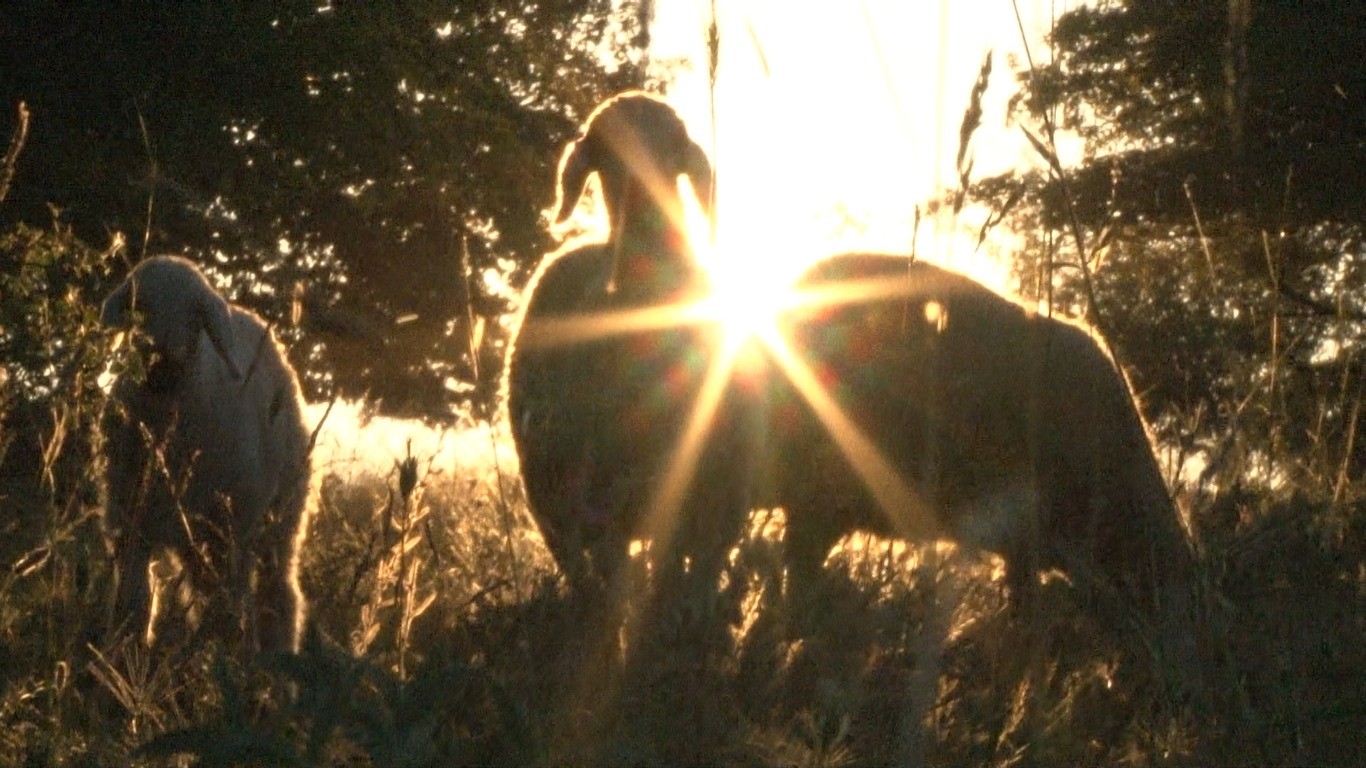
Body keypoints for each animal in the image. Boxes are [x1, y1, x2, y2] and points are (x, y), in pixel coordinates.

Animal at [102, 254, 312, 647]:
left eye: (196, 314)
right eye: (139, 304)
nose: (163, 361)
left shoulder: (232, 530)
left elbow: (230, 610)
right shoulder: (131, 524)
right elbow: (133, 603)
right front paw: (121, 657)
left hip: (275, 519)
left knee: (275, 595)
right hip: (200, 535)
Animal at [502, 92, 748, 587]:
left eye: (674, 147)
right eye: (605, 154)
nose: (641, 205)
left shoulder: (708, 495)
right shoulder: (603, 498)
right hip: (549, 487)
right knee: (579, 567)